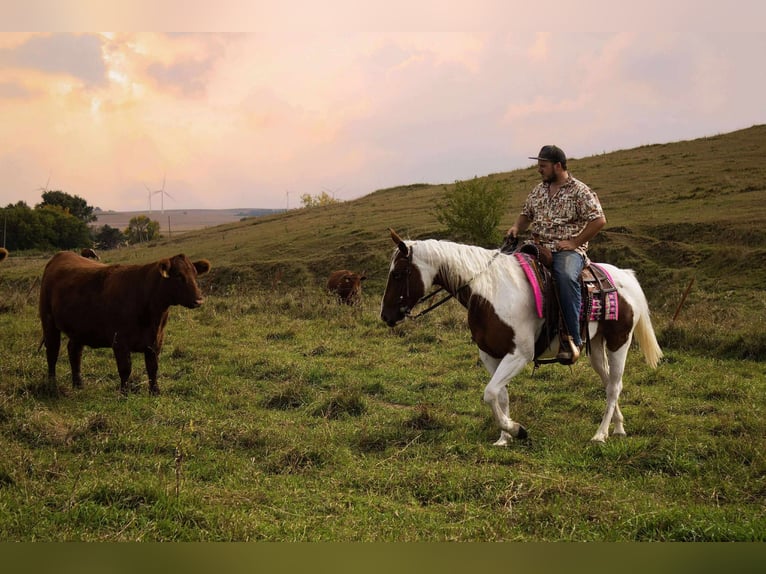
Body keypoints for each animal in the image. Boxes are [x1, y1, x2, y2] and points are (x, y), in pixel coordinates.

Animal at [380, 229, 663, 444]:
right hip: (596, 345)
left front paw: (517, 430)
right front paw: (504, 438)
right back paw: (618, 427)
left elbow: (490, 392)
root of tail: (624, 276)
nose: (386, 315)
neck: (490, 292)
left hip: (620, 341)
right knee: (609, 383)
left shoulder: (519, 355)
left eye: (398, 274)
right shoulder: (490, 355)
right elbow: (500, 394)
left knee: (614, 386)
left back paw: (600, 435)